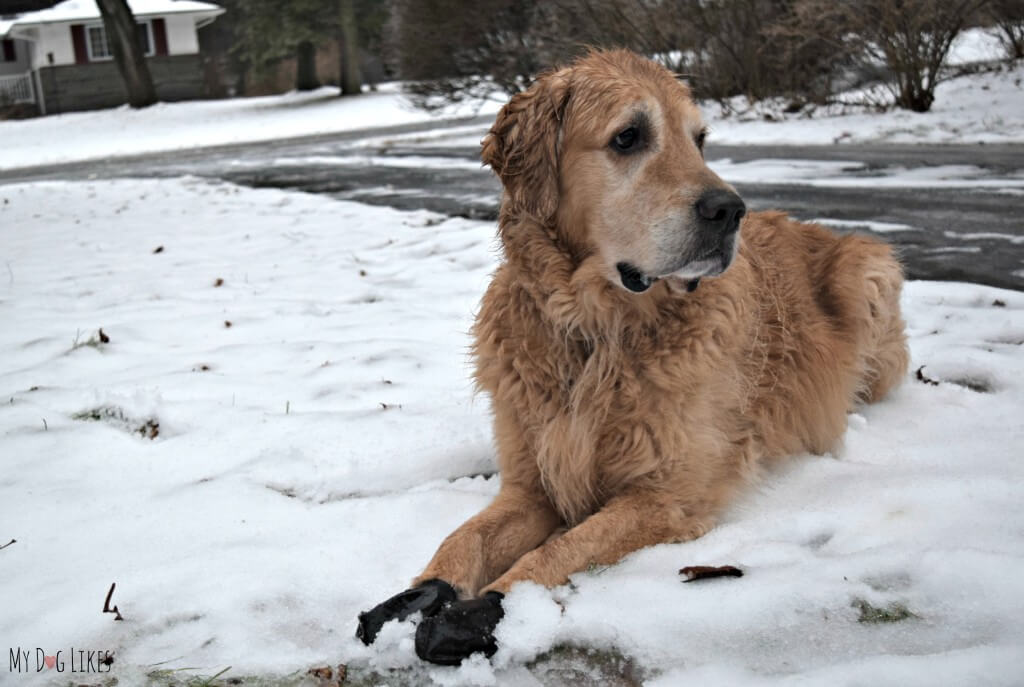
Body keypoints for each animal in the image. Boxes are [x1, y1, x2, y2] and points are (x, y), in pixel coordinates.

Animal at [356, 49, 909, 667]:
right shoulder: (531, 483)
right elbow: (464, 537)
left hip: (868, 274)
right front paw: (416, 598)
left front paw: (484, 612)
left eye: (699, 140)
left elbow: (566, 547)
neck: (595, 331)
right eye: (628, 137)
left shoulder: (666, 496)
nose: (731, 210)